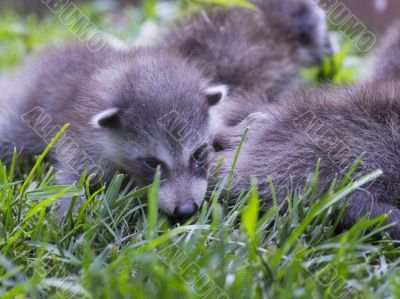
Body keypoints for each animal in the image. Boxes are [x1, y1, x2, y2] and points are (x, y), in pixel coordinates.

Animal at [0, 43, 227, 221]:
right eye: (151, 163)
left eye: (198, 153)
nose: (186, 210)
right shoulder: (81, 139)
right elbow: (71, 176)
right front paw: (68, 211)